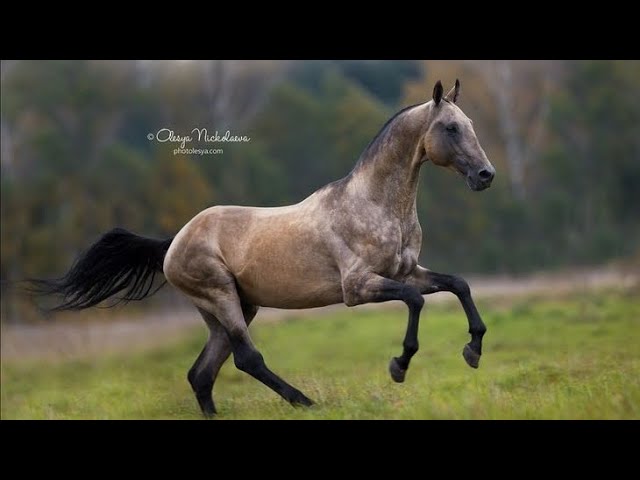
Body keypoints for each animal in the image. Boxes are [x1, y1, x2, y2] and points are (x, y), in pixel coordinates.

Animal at [32, 79, 495, 417]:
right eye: (450, 128)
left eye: (472, 123)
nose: (485, 175)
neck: (374, 204)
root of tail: (174, 242)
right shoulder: (358, 287)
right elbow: (416, 300)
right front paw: (399, 366)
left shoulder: (405, 271)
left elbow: (458, 284)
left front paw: (473, 351)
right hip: (221, 298)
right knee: (246, 359)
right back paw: (305, 402)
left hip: (232, 308)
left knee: (202, 374)